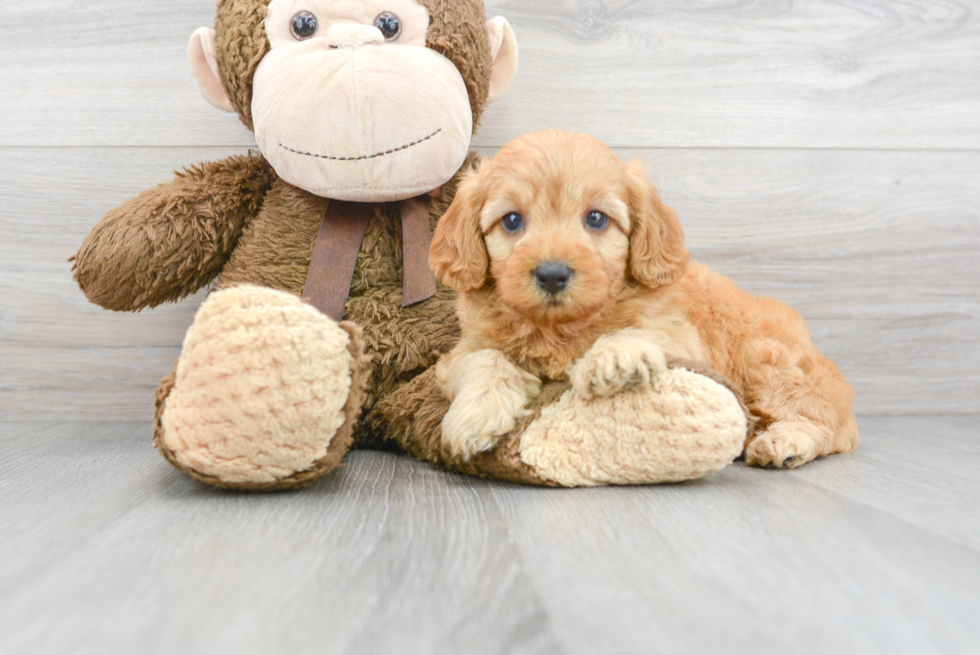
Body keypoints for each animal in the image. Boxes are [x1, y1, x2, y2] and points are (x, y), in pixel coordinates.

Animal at [428, 132, 856, 466]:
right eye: (512, 221)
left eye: (596, 219)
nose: (552, 274)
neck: (562, 328)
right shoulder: (464, 350)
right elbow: (486, 360)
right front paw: (477, 414)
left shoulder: (684, 340)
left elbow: (642, 331)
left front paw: (614, 357)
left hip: (768, 362)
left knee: (830, 426)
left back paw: (784, 442)